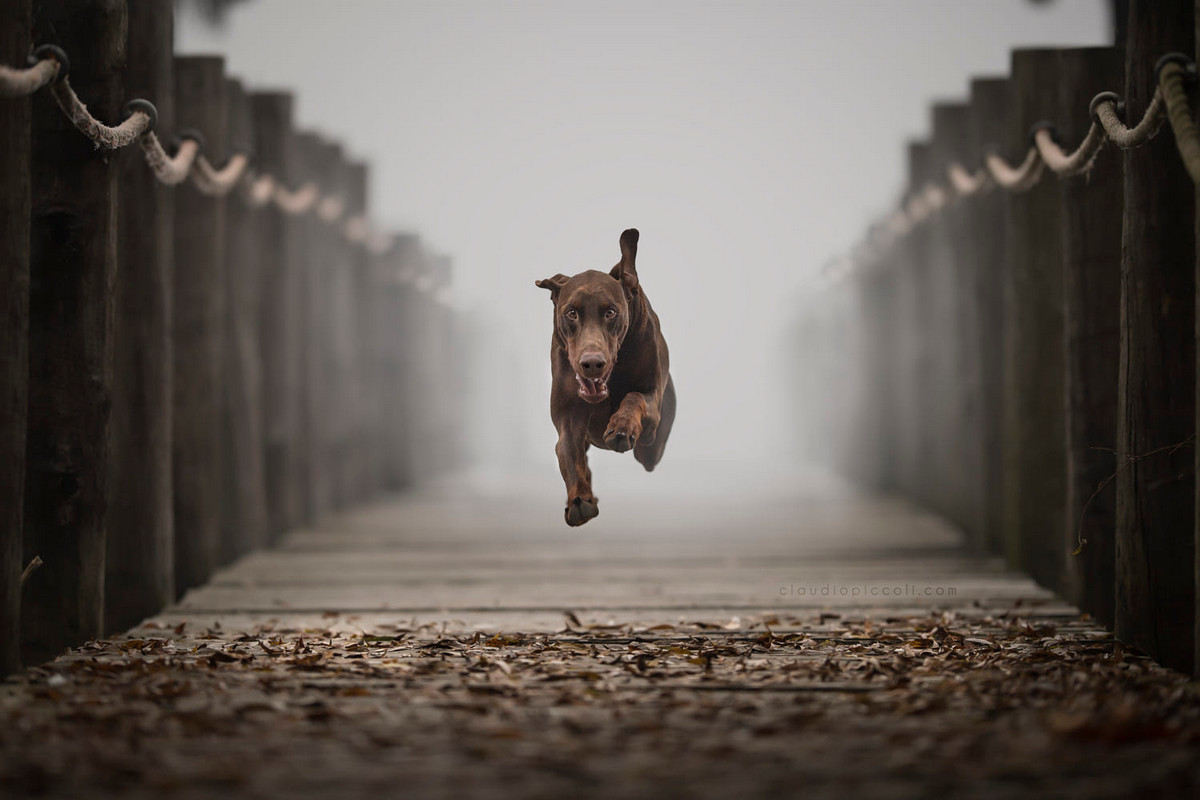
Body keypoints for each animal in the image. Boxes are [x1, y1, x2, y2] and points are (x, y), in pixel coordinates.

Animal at [535, 226, 676, 525]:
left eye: (611, 312)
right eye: (571, 313)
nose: (592, 363)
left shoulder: (652, 409)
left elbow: (635, 396)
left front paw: (622, 427)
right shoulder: (568, 417)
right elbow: (569, 451)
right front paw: (580, 498)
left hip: (652, 448)